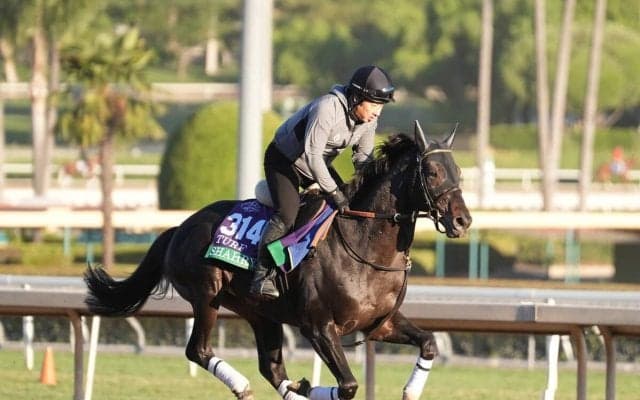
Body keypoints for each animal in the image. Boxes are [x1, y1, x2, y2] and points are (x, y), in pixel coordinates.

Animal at [84, 121, 472, 400]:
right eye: (432, 172)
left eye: (459, 172)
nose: (462, 220)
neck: (364, 247)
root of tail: (180, 227)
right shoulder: (318, 327)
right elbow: (348, 386)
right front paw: (311, 386)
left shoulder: (379, 323)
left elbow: (429, 343)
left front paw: (409, 390)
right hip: (206, 295)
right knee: (199, 350)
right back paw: (244, 386)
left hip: (261, 313)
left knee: (270, 368)